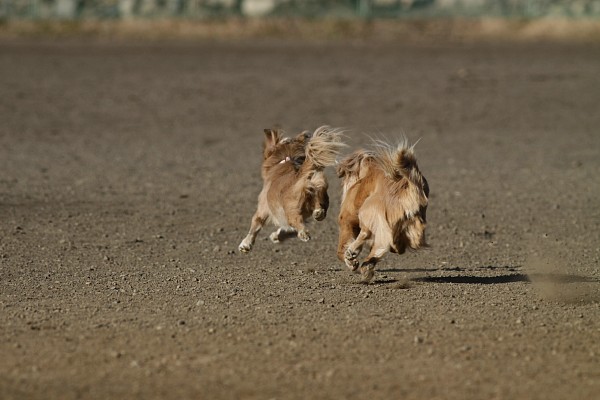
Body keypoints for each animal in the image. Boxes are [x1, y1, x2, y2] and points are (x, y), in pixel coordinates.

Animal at [336, 139, 428, 282]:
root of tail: (408, 185)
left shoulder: (346, 219)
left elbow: (341, 248)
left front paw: (351, 261)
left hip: (368, 210)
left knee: (369, 236)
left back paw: (354, 255)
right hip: (411, 224)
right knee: (383, 246)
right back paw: (367, 266)